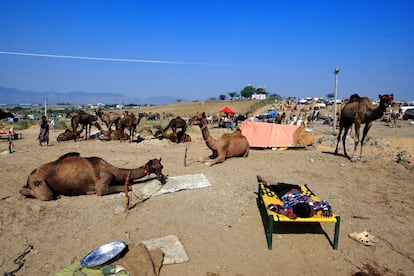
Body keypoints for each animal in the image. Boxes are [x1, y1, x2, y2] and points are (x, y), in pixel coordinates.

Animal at [19, 151, 165, 201]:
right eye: (155, 167)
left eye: (162, 166)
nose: (162, 178)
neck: (115, 171)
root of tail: (29, 176)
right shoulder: (102, 183)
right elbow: (127, 188)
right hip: (39, 182)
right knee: (46, 195)